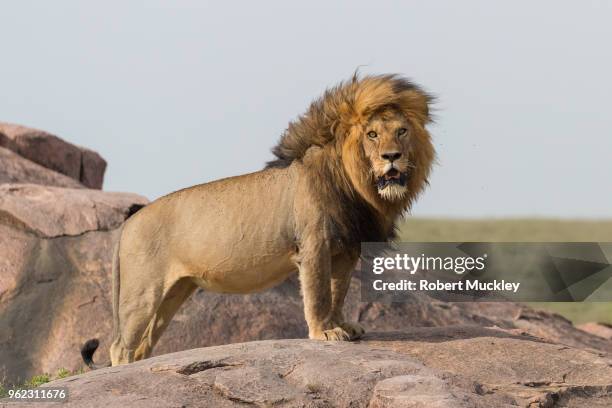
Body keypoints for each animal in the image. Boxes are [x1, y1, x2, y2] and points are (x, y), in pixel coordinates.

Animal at [81, 72, 436, 366]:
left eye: (402, 131)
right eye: (372, 134)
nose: (392, 157)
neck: (356, 184)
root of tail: (130, 222)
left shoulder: (347, 250)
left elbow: (338, 292)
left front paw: (341, 325)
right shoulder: (314, 245)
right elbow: (318, 294)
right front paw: (324, 332)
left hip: (174, 293)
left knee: (143, 345)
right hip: (142, 292)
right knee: (120, 347)